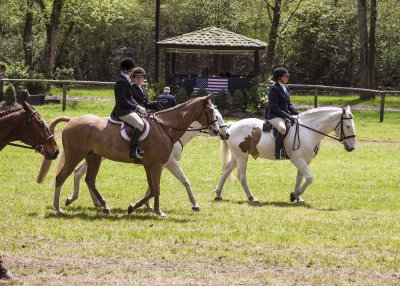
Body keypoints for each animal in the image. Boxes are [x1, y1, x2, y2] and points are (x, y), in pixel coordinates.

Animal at [64, 107, 230, 212]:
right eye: (216, 116)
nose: (225, 134)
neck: (168, 130)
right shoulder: (169, 163)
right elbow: (185, 181)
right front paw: (195, 204)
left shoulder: (158, 164)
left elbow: (152, 185)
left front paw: (147, 205)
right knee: (80, 173)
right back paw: (85, 200)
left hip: (95, 155)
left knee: (81, 173)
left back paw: (93, 202)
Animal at [216, 106, 356, 202]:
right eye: (348, 126)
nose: (352, 147)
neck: (308, 131)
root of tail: (232, 125)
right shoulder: (297, 160)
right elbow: (310, 177)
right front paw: (294, 195)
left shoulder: (305, 160)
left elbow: (300, 178)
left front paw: (297, 196)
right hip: (242, 157)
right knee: (242, 176)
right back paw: (251, 197)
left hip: (237, 157)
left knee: (226, 172)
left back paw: (218, 194)